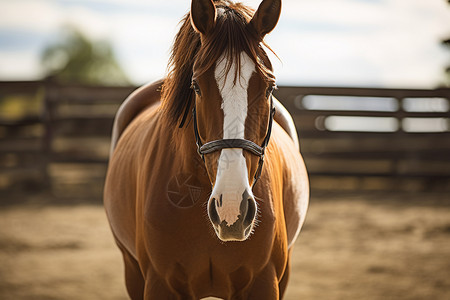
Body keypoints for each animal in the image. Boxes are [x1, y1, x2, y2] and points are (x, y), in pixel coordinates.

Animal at [104, 1, 310, 298]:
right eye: (197, 86)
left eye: (270, 87)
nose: (232, 209)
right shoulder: (158, 284)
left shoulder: (264, 283)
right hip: (132, 271)